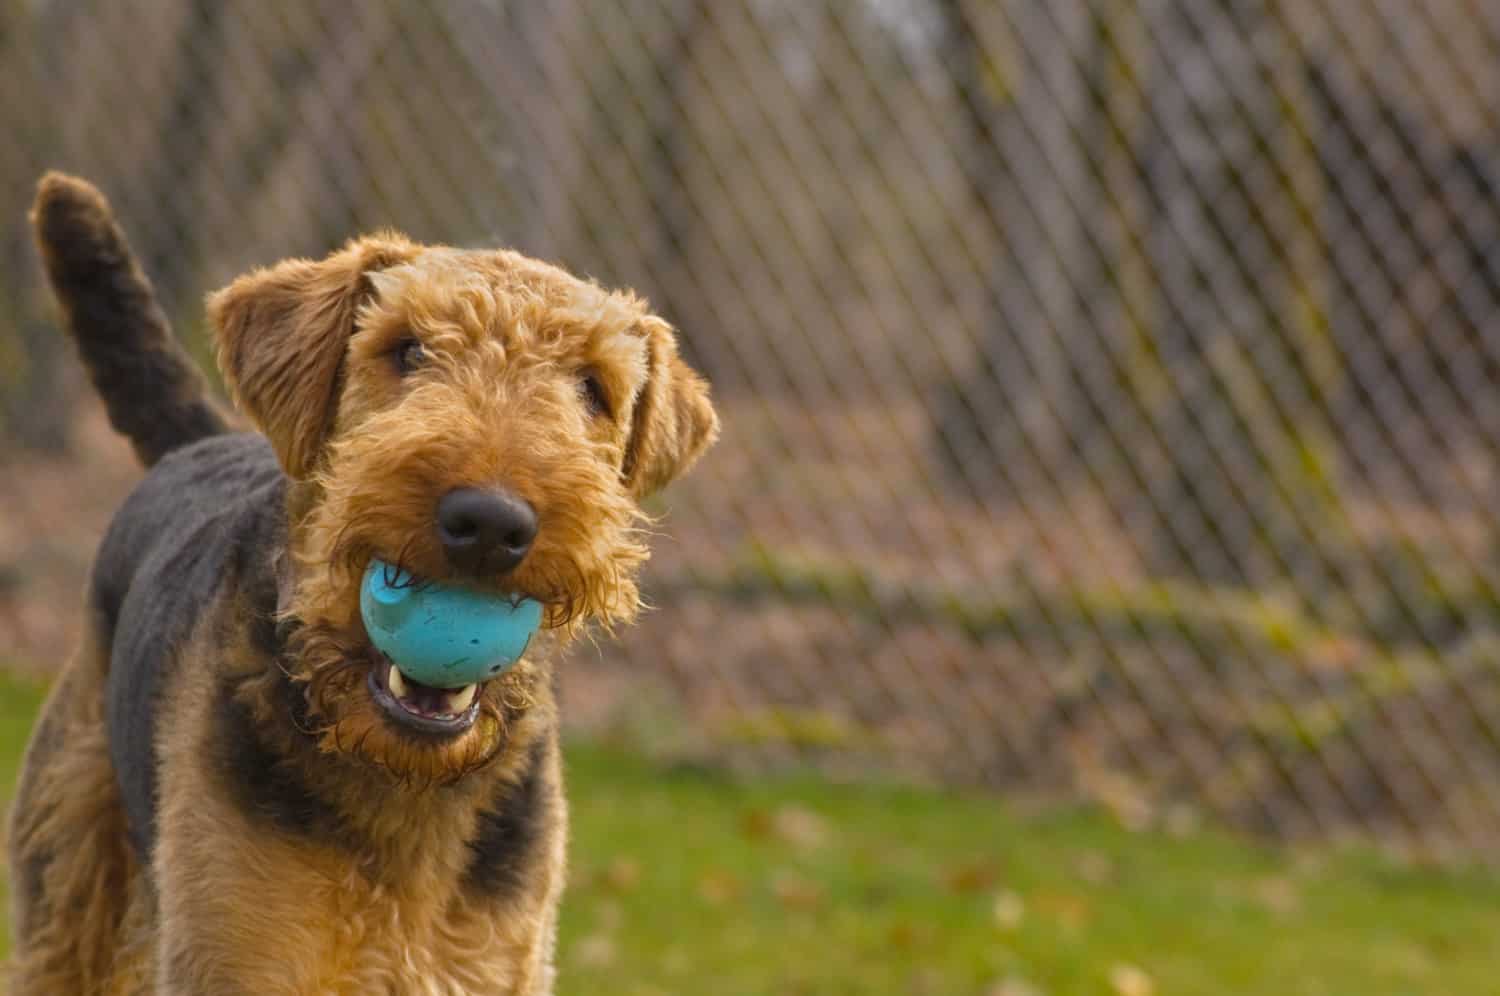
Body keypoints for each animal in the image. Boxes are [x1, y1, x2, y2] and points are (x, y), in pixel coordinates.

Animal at [5, 174, 717, 990]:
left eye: (593, 388)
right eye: (405, 349)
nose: (489, 523)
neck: (406, 790)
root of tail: (206, 443)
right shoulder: (236, 961)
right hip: (68, 883)